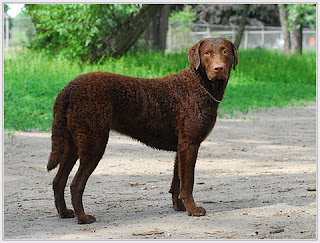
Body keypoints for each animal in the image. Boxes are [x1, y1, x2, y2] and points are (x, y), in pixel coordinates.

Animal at [47, 37, 238, 225]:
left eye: (225, 51)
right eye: (206, 53)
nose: (218, 68)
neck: (199, 85)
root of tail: (68, 89)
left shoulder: (181, 146)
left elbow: (177, 181)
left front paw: (180, 207)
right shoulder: (190, 144)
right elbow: (188, 182)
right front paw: (192, 209)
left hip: (73, 144)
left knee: (58, 181)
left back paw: (64, 212)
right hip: (94, 143)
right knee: (75, 184)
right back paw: (83, 218)